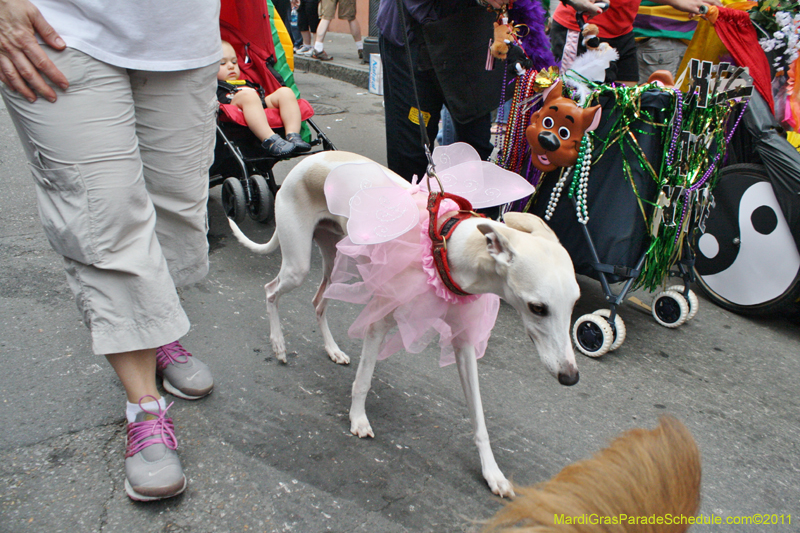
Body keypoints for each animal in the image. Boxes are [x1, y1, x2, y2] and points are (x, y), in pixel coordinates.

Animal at [228, 148, 580, 496]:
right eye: (538, 308)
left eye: (575, 302)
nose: (571, 377)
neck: (446, 246)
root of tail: (310, 159)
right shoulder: (380, 318)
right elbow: (363, 380)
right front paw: (357, 419)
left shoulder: (464, 343)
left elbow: (479, 418)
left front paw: (492, 473)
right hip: (298, 264)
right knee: (271, 291)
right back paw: (278, 345)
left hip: (333, 256)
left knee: (317, 301)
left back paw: (332, 349)